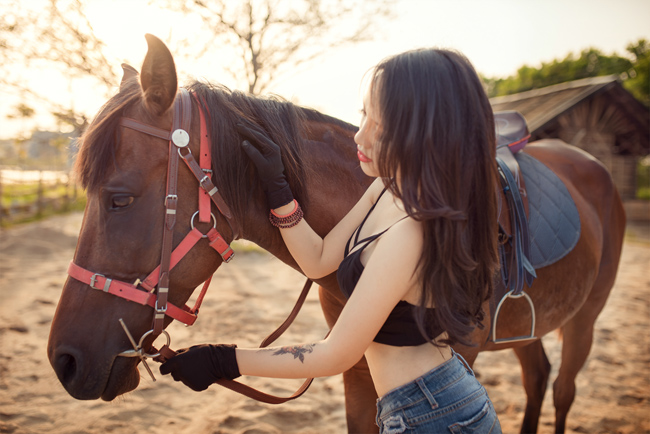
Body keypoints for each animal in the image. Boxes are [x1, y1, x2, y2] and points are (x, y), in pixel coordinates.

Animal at [45, 35, 624, 432]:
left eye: (119, 199)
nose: (63, 361)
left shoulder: (462, 355)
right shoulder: (356, 371)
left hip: (586, 318)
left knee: (563, 387)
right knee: (538, 376)